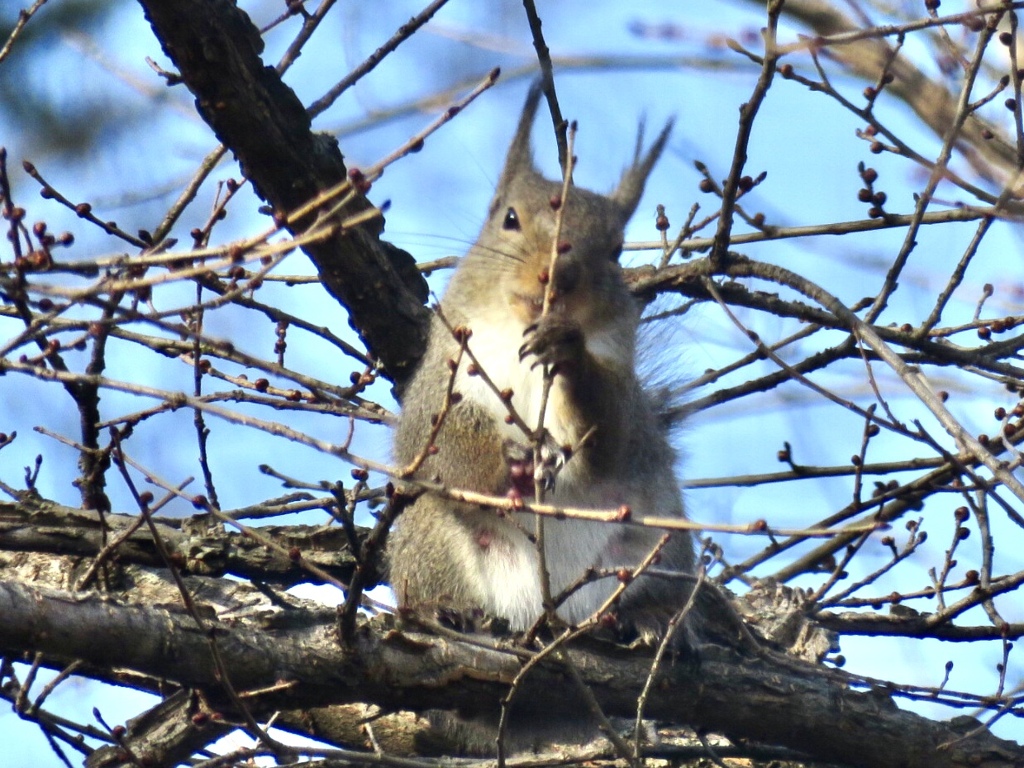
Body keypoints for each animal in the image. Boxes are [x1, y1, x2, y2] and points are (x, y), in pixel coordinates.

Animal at [387, 83, 700, 651]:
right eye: (508, 219)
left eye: (617, 250)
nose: (559, 275)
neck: (518, 335)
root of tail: (544, 608)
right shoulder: (442, 377)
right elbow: (434, 436)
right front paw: (509, 466)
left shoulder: (622, 388)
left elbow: (612, 434)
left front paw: (566, 348)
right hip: (431, 535)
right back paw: (443, 609)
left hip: (660, 542)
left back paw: (651, 618)